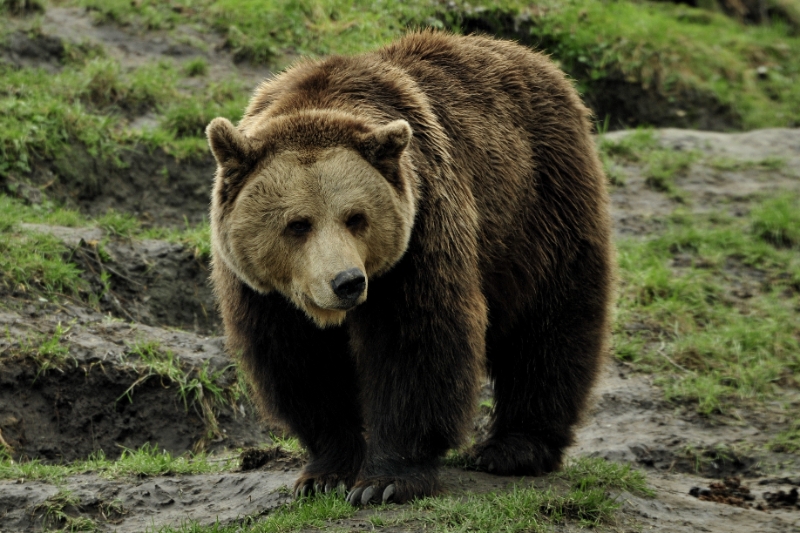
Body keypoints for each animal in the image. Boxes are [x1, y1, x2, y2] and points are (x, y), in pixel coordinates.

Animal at [206, 31, 612, 504]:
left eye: (356, 217)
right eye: (298, 224)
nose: (347, 282)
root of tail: (538, 60)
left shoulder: (420, 230)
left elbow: (416, 343)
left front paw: (385, 481)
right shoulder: (263, 291)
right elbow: (301, 363)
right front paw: (326, 473)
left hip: (539, 204)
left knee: (549, 323)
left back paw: (515, 449)